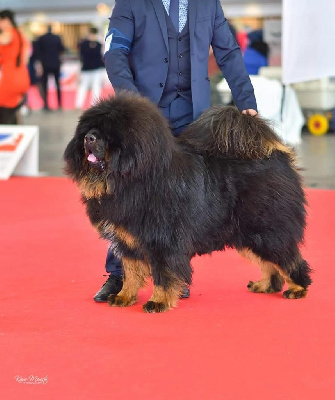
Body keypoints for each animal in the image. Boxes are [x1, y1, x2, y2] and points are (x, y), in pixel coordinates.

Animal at [65, 92, 312, 314]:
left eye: (108, 133)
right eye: (89, 129)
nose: (89, 138)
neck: (135, 177)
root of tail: (278, 156)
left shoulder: (162, 241)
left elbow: (163, 275)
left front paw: (159, 302)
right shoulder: (128, 240)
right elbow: (131, 272)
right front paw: (124, 296)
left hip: (268, 231)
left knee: (290, 260)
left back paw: (297, 289)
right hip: (249, 236)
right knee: (271, 265)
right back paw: (265, 285)